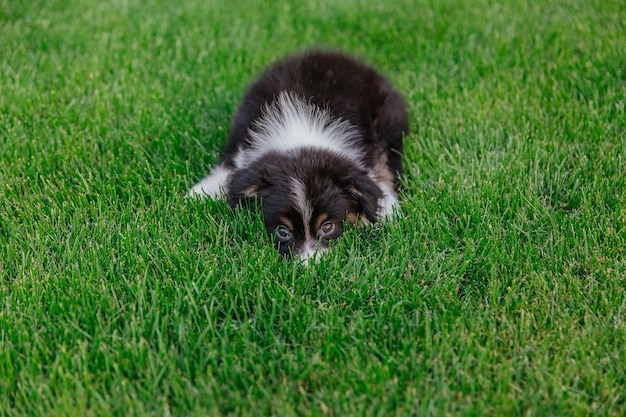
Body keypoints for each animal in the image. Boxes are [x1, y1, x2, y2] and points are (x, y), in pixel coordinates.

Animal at [188, 49, 408, 260]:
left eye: (327, 227)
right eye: (283, 231)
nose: (311, 266)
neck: (300, 132)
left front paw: (386, 210)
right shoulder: (243, 133)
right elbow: (231, 166)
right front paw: (201, 191)